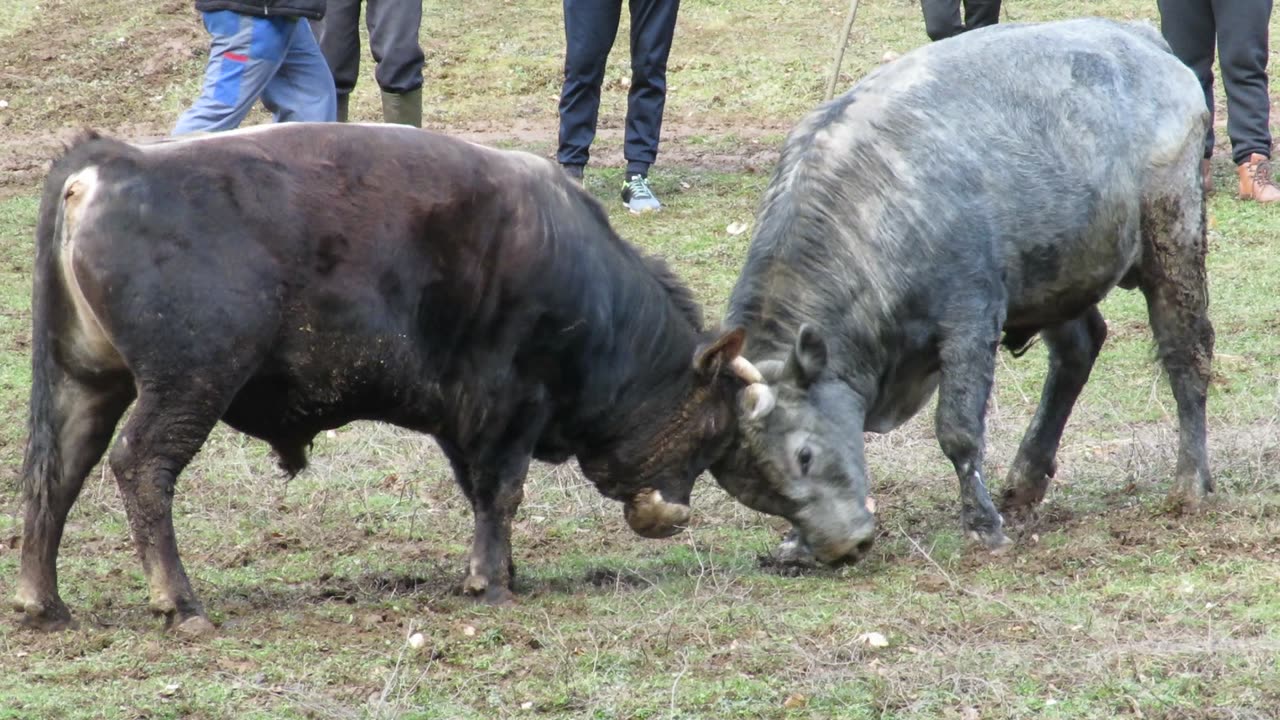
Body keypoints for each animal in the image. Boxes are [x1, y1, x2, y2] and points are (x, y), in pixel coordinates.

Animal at [716, 18, 1213, 561]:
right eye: (755, 491)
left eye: (804, 454)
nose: (841, 547)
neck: (875, 204)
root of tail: (1137, 36)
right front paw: (794, 543)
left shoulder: (970, 322)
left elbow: (958, 430)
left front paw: (981, 525)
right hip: (1058, 275)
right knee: (1078, 352)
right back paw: (1026, 477)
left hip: (1173, 243)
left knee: (1187, 354)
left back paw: (1191, 483)